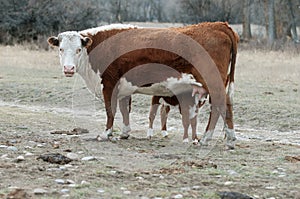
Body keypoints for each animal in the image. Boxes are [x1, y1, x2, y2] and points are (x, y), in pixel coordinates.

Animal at [48, 22, 237, 148]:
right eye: (61, 49)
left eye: (78, 50)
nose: (68, 68)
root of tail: (219, 25)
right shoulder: (123, 88)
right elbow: (124, 109)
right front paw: (125, 133)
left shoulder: (109, 84)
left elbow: (111, 110)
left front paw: (106, 133)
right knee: (223, 105)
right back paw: (226, 137)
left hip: (213, 82)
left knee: (221, 105)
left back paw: (210, 138)